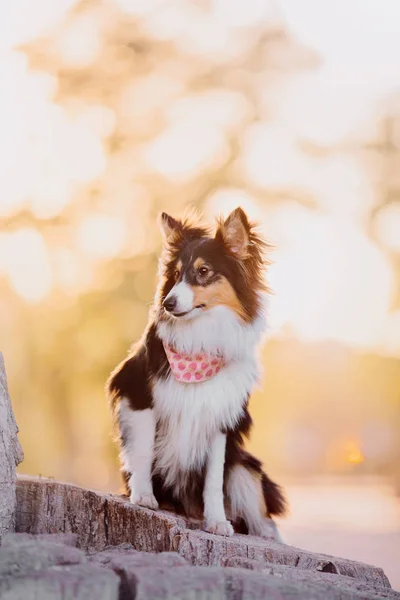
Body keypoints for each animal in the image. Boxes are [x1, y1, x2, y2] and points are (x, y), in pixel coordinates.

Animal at [108, 209, 286, 536]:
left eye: (203, 271)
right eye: (177, 274)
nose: (168, 303)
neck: (200, 338)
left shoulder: (220, 417)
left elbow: (213, 479)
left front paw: (216, 521)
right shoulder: (138, 395)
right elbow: (142, 450)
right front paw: (143, 495)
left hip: (246, 468)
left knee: (260, 516)